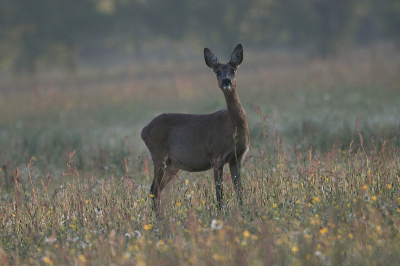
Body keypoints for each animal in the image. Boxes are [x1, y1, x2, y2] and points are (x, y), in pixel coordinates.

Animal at [139, 43, 248, 214]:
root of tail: (144, 130)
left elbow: (239, 190)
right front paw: (220, 213)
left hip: (172, 164)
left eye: (233, 70)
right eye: (217, 71)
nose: (226, 81)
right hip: (158, 154)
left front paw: (243, 212)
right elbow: (219, 192)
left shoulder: (237, 157)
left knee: (157, 190)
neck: (233, 127)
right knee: (153, 190)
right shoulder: (217, 156)